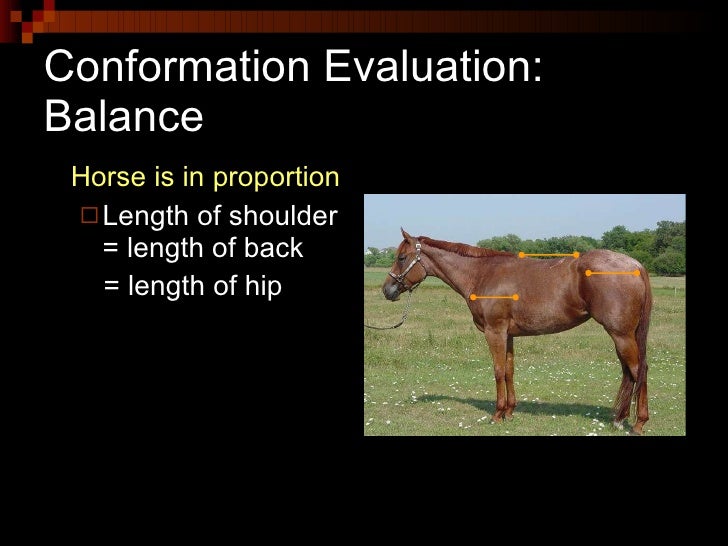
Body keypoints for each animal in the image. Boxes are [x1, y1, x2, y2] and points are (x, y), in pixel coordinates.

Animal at [381, 228, 653, 435]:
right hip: (623, 335)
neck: (481, 274)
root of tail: (636, 264)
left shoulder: (495, 332)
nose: (387, 290)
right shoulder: (509, 335)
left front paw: (497, 414)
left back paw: (638, 423)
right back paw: (619, 419)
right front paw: (510, 412)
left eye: (402, 257)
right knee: (630, 372)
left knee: (638, 370)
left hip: (621, 334)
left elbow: (498, 371)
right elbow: (510, 371)